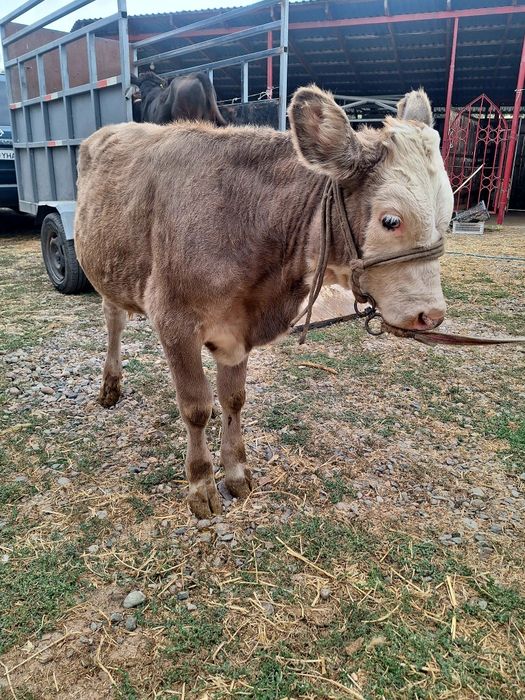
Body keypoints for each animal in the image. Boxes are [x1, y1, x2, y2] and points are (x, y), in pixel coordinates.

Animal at [74, 86, 453, 518]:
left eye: (448, 216)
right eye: (391, 220)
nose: (431, 315)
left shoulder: (238, 327)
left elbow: (234, 399)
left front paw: (236, 473)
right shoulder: (175, 321)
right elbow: (195, 407)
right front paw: (201, 485)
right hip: (107, 273)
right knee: (114, 322)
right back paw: (110, 386)